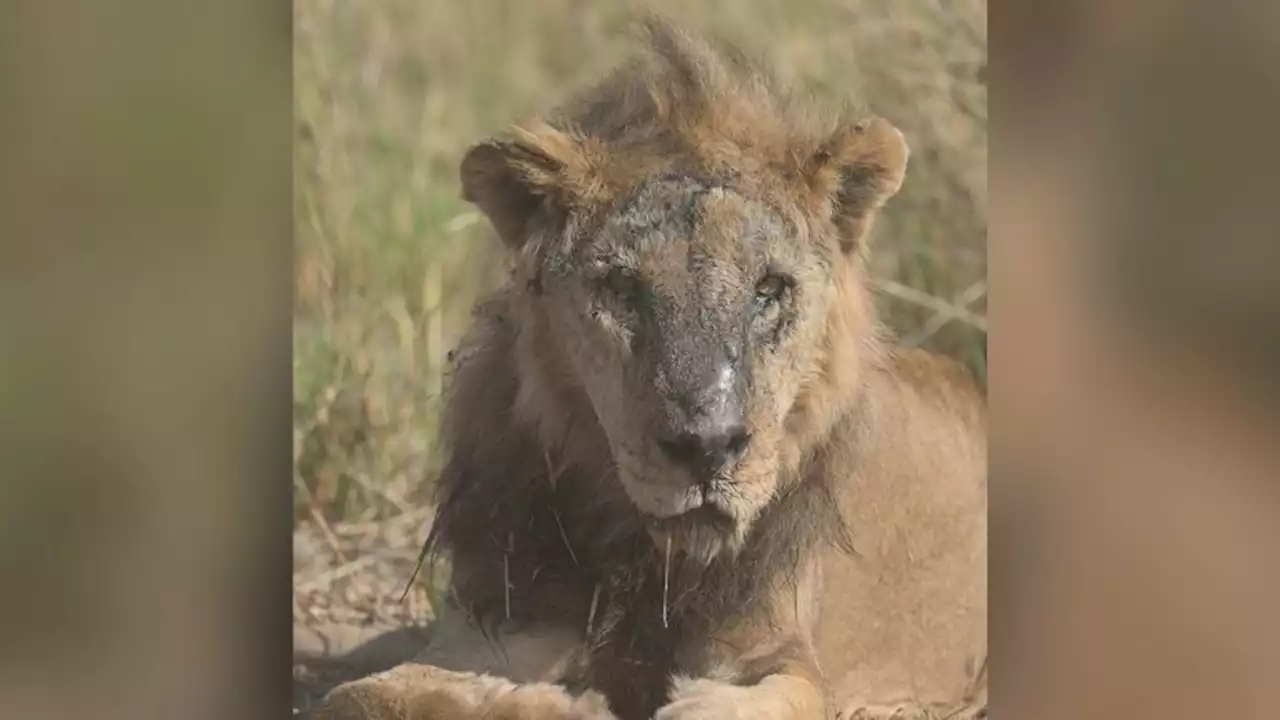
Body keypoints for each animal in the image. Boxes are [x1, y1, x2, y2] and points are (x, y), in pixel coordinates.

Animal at [314, 16, 983, 717]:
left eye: (769, 287)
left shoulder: (783, 656)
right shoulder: (499, 620)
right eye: (622, 289)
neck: (648, 558)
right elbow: (366, 694)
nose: (707, 448)